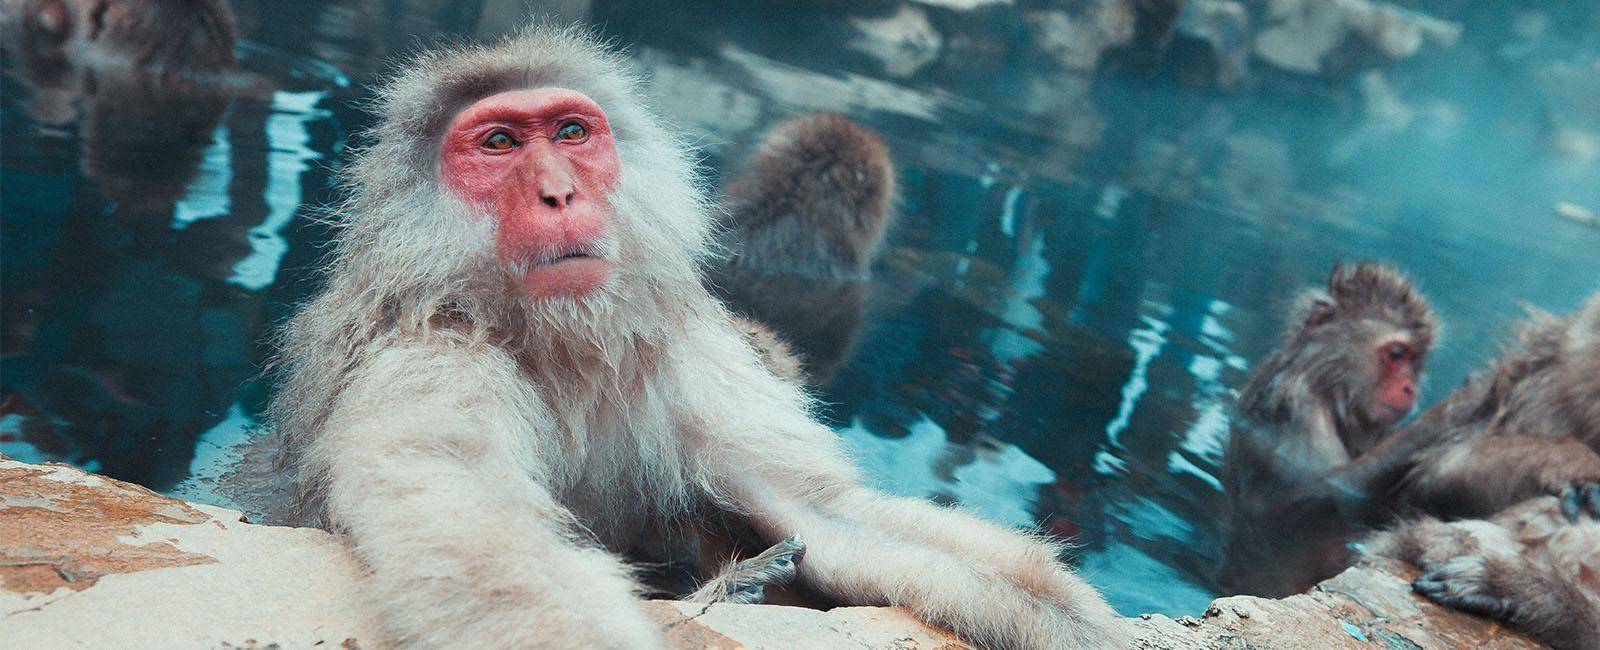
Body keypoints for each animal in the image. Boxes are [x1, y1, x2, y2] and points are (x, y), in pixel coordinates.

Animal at [1216, 260, 1446, 595]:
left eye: (1416, 361)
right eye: (1397, 354)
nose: (1409, 388)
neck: (1328, 382)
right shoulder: (1296, 405)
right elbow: (1325, 490)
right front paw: (1453, 412)